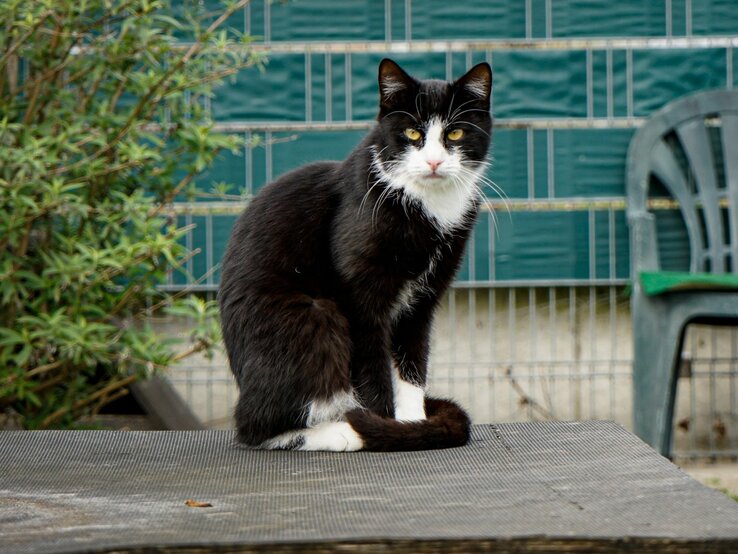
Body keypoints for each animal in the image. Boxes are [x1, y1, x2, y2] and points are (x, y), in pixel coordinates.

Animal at [218, 58, 494, 450]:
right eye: (412, 133)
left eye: (455, 134)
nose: (434, 162)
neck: (427, 205)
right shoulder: (358, 296)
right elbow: (372, 369)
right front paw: (384, 427)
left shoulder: (423, 300)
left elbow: (412, 364)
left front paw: (411, 423)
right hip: (314, 316)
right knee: (257, 427)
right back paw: (341, 431)